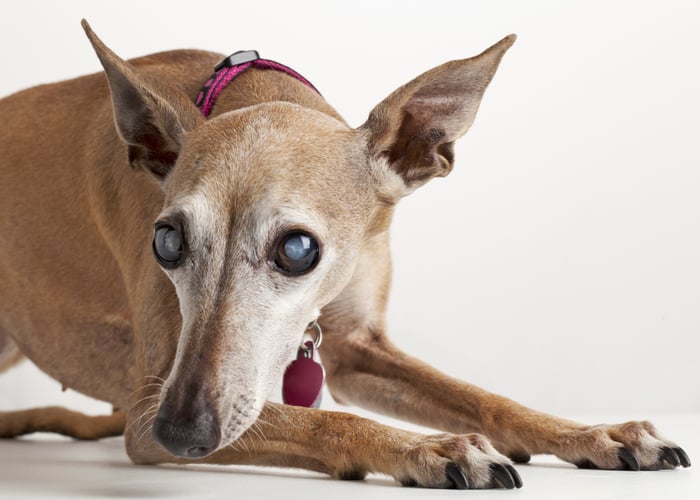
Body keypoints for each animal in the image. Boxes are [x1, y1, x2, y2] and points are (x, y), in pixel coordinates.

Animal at [0, 19, 688, 488]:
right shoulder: (152, 396)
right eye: (167, 240)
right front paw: (429, 448)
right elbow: (319, 419)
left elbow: (486, 399)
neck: (245, 91)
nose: (181, 432)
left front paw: (592, 431)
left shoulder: (357, 348)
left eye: (299, 248)